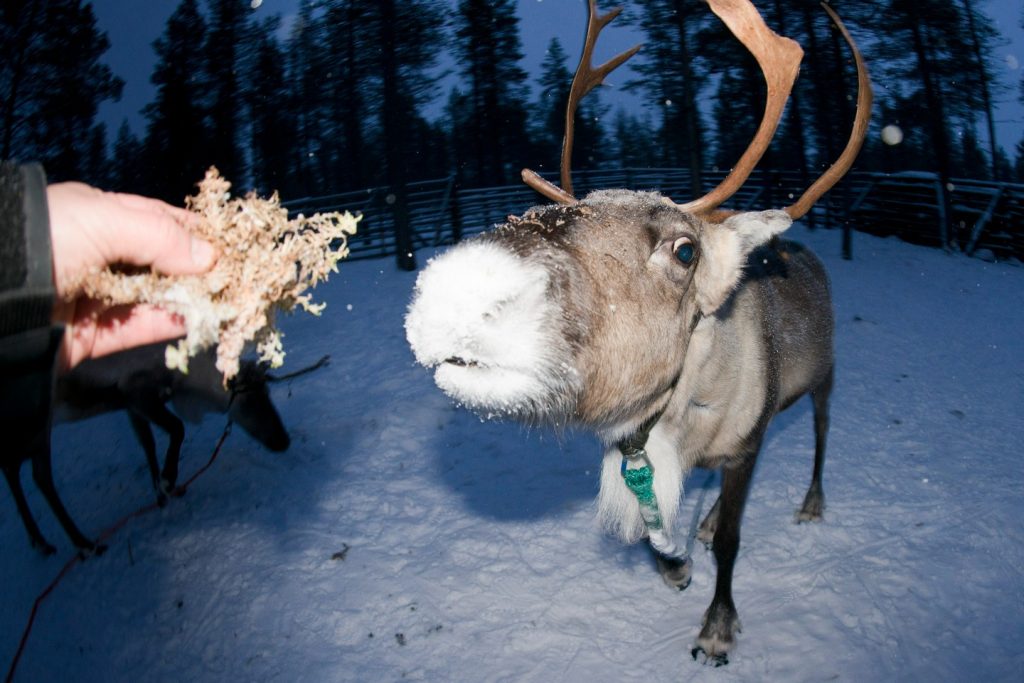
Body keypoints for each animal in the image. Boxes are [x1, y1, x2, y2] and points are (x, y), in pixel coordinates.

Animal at [2, 342, 290, 556]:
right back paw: (84, 544)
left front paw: (161, 494)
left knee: (14, 469)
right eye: (250, 399)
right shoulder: (138, 392)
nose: (283, 440)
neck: (189, 384)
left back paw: (42, 541)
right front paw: (167, 479)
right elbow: (177, 428)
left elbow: (148, 444)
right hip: (36, 422)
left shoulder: (131, 405)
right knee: (38, 476)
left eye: (267, 391)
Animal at [405, 0, 871, 665]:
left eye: (685, 250)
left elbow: (732, 540)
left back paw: (810, 503)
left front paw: (716, 627)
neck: (674, 420)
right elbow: (661, 532)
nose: (461, 289)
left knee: (822, 429)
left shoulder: (748, 442)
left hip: (825, 374)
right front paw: (676, 566)